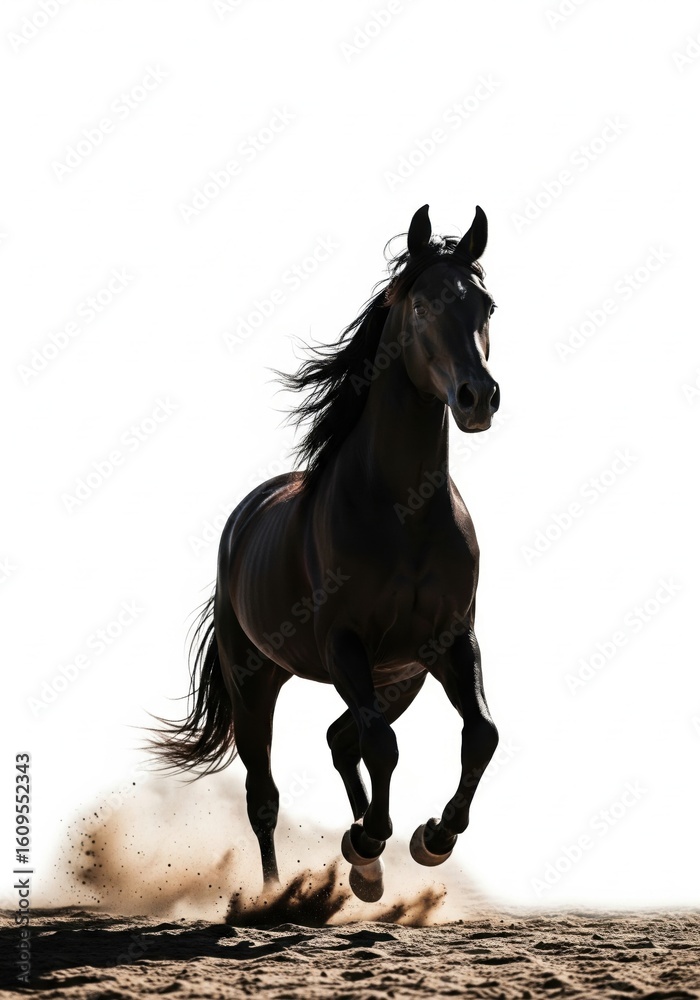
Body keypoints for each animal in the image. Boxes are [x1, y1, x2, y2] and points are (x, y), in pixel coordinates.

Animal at [151, 204, 501, 903]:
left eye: (487, 305)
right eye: (422, 304)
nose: (478, 397)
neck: (404, 511)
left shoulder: (450, 641)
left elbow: (480, 735)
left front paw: (431, 838)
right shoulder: (346, 644)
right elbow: (382, 746)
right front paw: (371, 842)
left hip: (399, 678)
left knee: (344, 739)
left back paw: (364, 865)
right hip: (256, 680)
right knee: (267, 793)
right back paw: (278, 892)